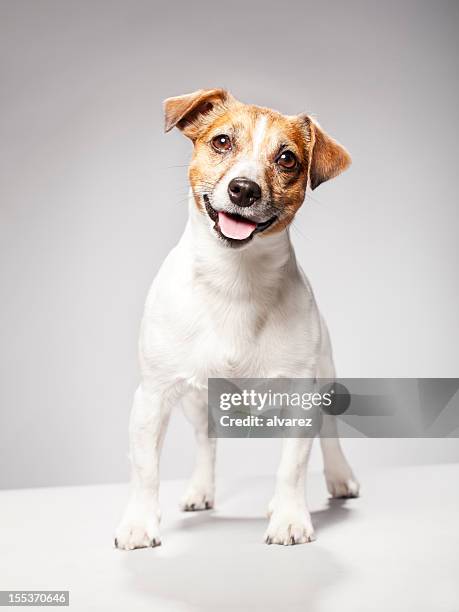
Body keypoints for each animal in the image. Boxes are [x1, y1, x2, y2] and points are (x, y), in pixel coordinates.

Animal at [114, 87, 360, 548]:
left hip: (326, 379)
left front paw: (289, 518)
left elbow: (292, 466)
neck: (234, 281)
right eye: (222, 141)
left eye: (287, 159)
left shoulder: (300, 398)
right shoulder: (153, 395)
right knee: (204, 442)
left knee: (328, 437)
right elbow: (145, 468)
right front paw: (138, 523)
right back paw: (200, 489)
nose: (244, 189)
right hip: (195, 401)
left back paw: (338, 478)